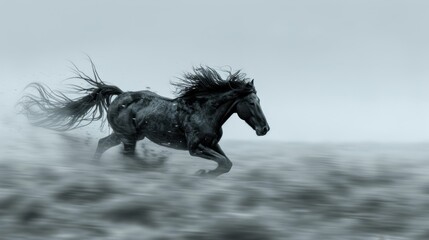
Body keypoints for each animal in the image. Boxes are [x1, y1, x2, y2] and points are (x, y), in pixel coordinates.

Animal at [20, 62, 270, 177]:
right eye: (252, 102)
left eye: (259, 100)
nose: (265, 129)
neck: (204, 111)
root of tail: (120, 95)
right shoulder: (195, 148)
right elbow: (224, 163)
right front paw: (201, 173)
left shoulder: (212, 144)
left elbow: (226, 164)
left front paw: (205, 174)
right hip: (128, 136)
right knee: (127, 156)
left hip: (125, 135)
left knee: (103, 145)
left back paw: (95, 168)